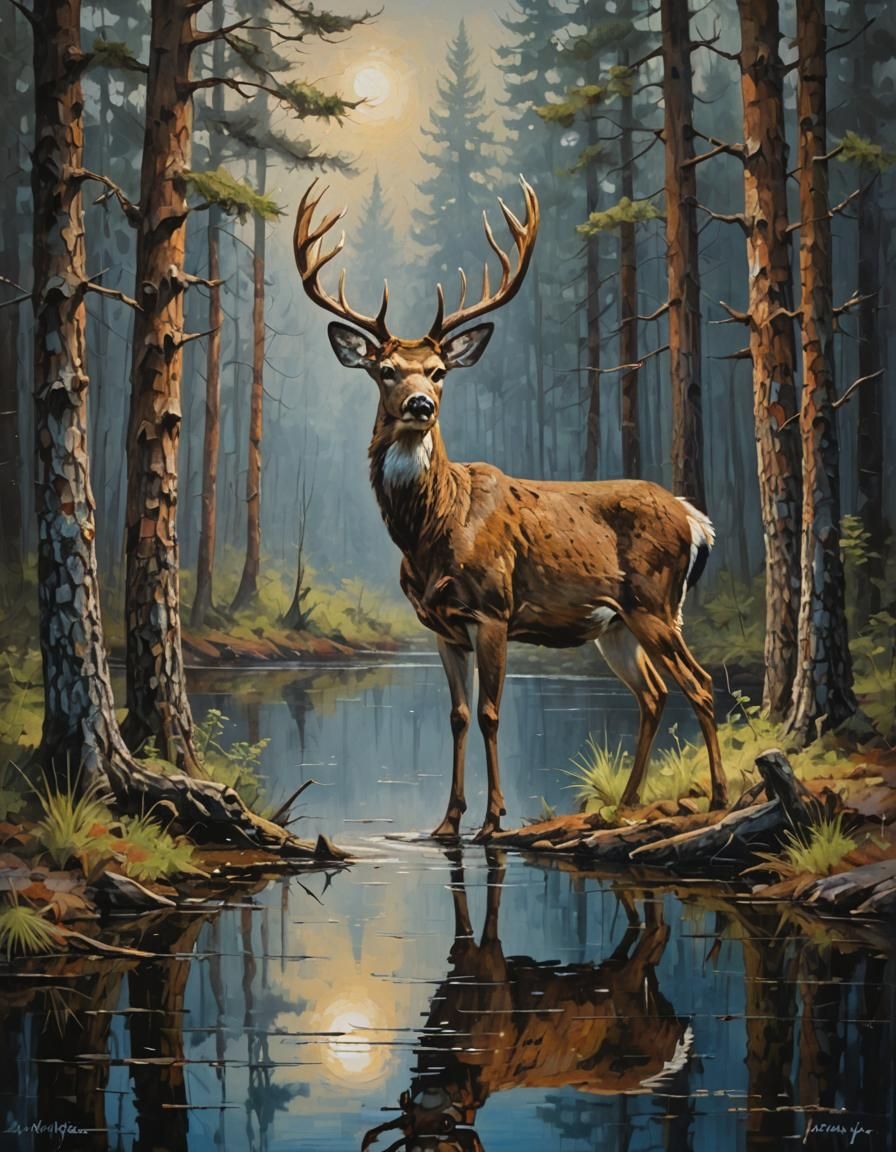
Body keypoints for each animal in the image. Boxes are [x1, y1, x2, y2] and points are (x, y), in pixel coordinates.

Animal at [294, 177, 729, 842]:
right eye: (385, 370)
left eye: (440, 371)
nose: (420, 405)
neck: (429, 533)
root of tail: (693, 517)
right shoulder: (441, 625)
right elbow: (455, 714)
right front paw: (446, 821)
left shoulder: (494, 608)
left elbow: (492, 712)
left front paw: (492, 820)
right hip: (616, 625)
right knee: (654, 694)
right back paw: (624, 803)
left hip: (655, 603)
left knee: (700, 686)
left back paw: (719, 797)